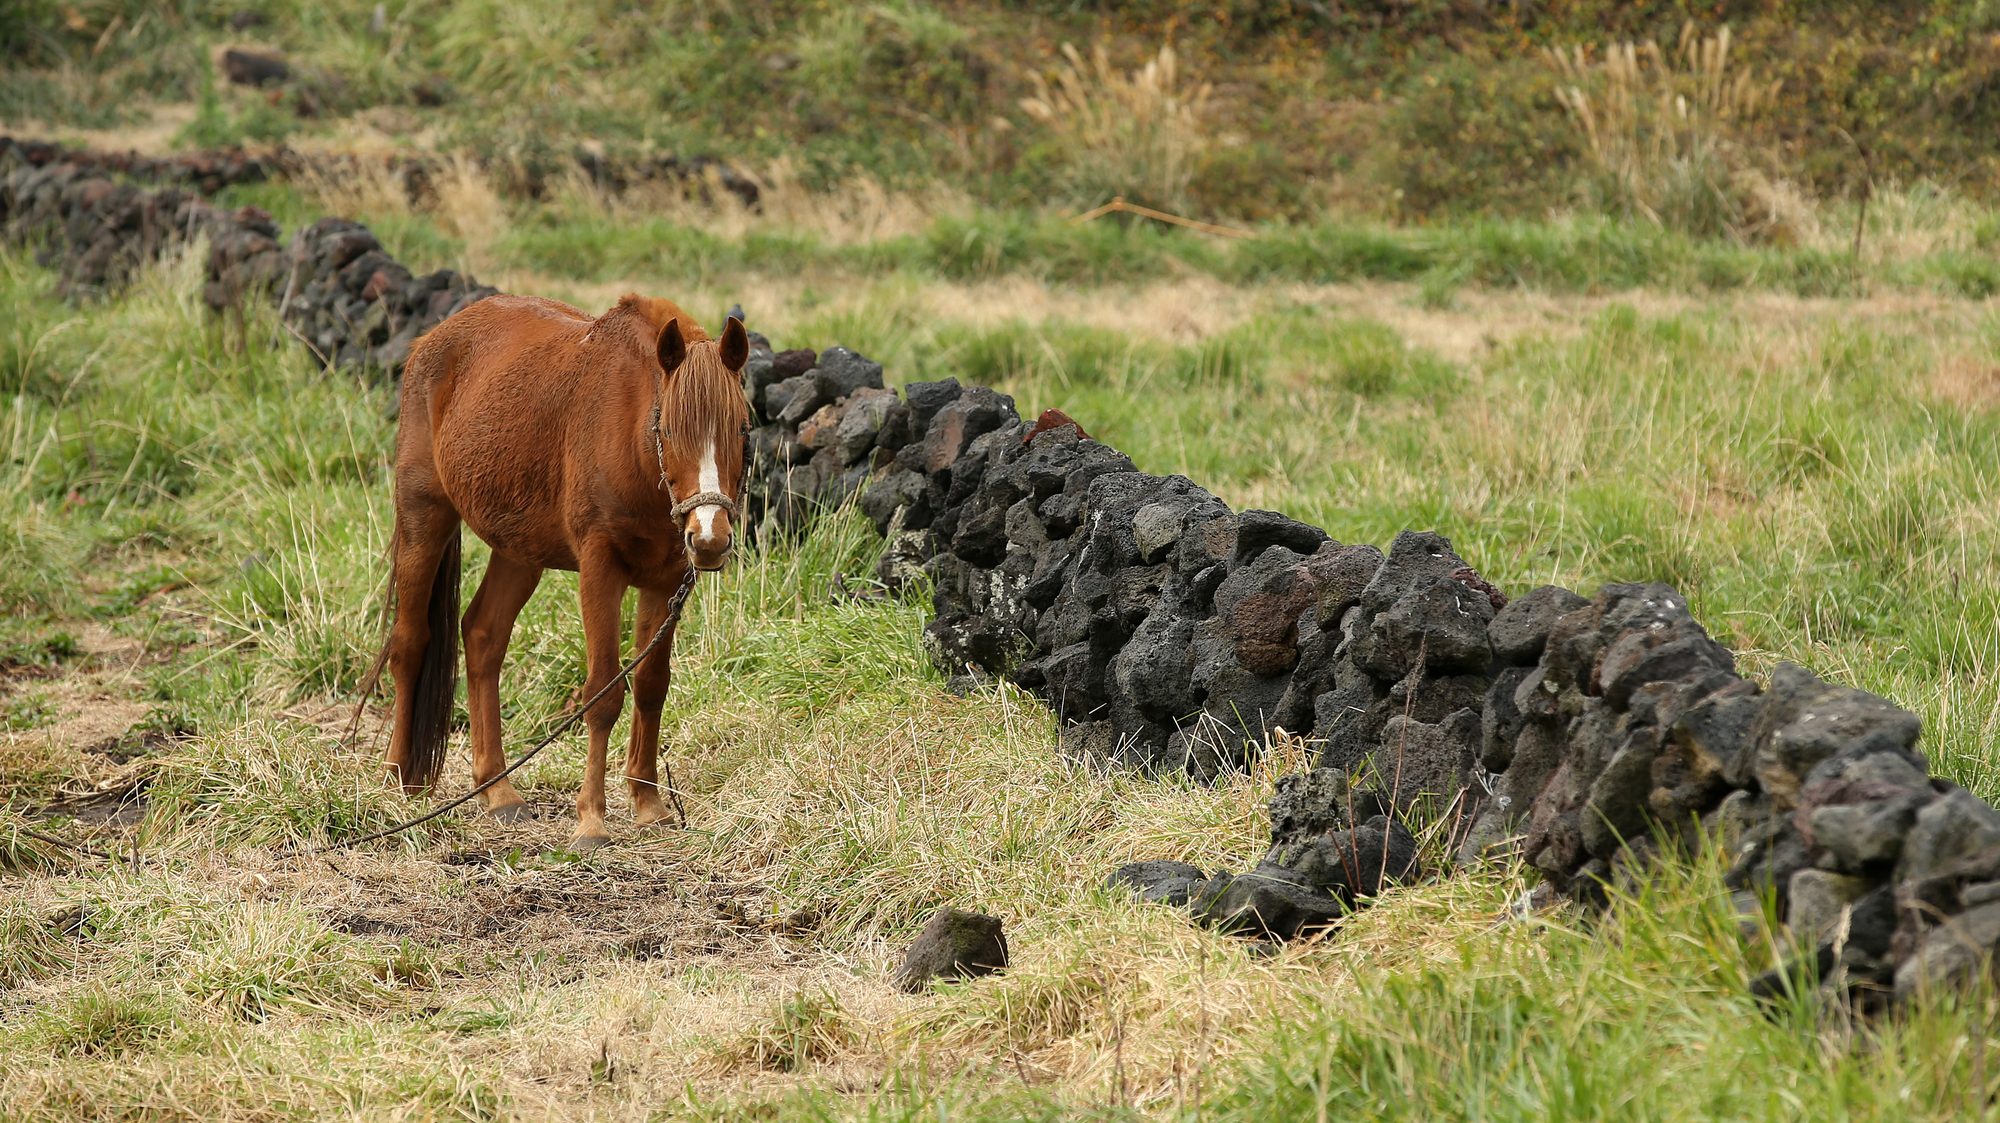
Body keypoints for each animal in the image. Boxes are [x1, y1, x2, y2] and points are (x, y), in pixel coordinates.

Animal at [373, 292, 750, 848]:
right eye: (665, 428)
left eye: (742, 429)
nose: (708, 538)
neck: (634, 445)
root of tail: (430, 341)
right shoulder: (600, 571)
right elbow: (603, 694)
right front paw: (591, 820)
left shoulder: (664, 580)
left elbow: (651, 685)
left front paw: (648, 805)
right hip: (425, 517)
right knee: (409, 643)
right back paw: (398, 778)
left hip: (518, 551)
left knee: (483, 636)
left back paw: (498, 791)